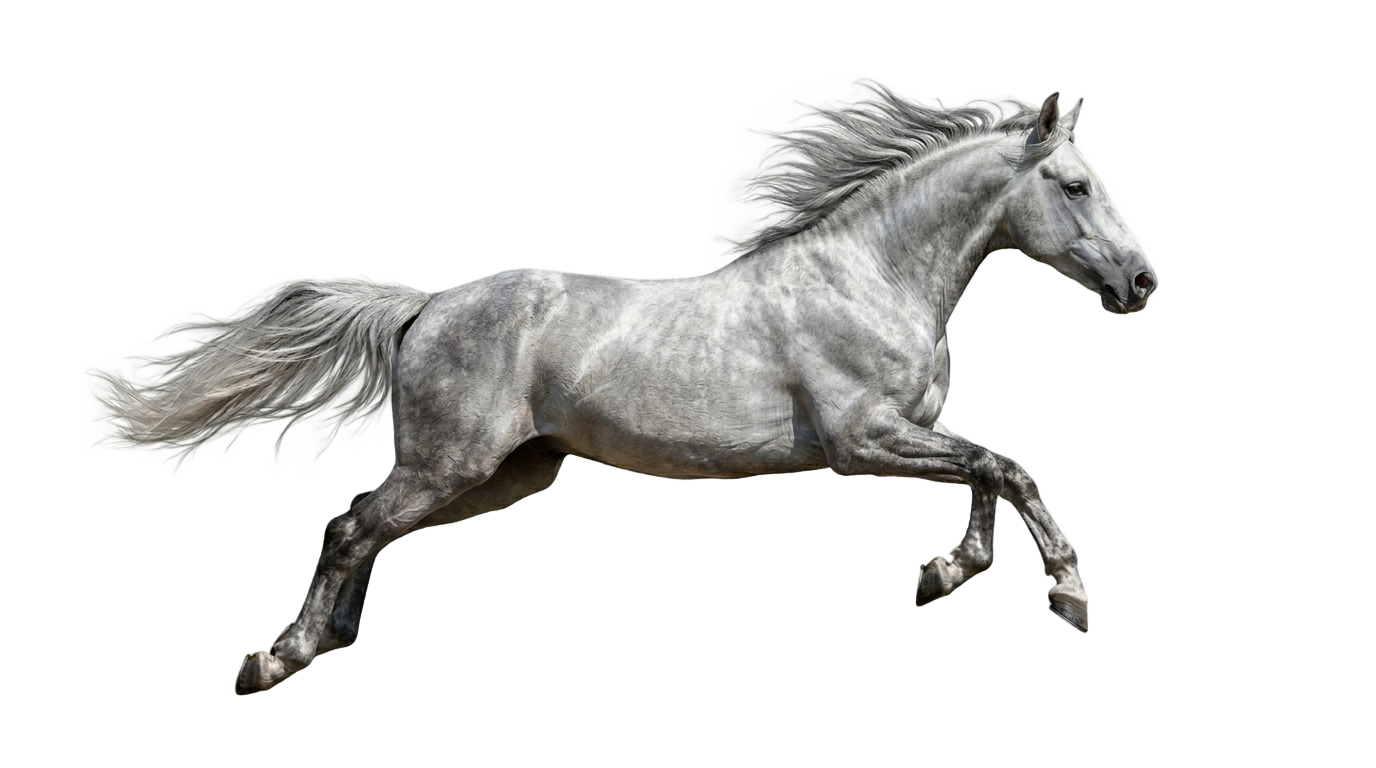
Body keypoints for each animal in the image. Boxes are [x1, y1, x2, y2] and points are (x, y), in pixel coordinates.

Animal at [94, 82, 1155, 693]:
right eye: (1073, 185)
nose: (1142, 280)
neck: (866, 274)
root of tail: (424, 302)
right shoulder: (862, 439)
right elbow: (1001, 464)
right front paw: (1066, 588)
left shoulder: (905, 435)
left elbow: (989, 470)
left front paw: (955, 571)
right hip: (451, 463)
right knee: (348, 527)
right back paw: (278, 658)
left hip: (496, 469)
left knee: (361, 526)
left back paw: (346, 638)